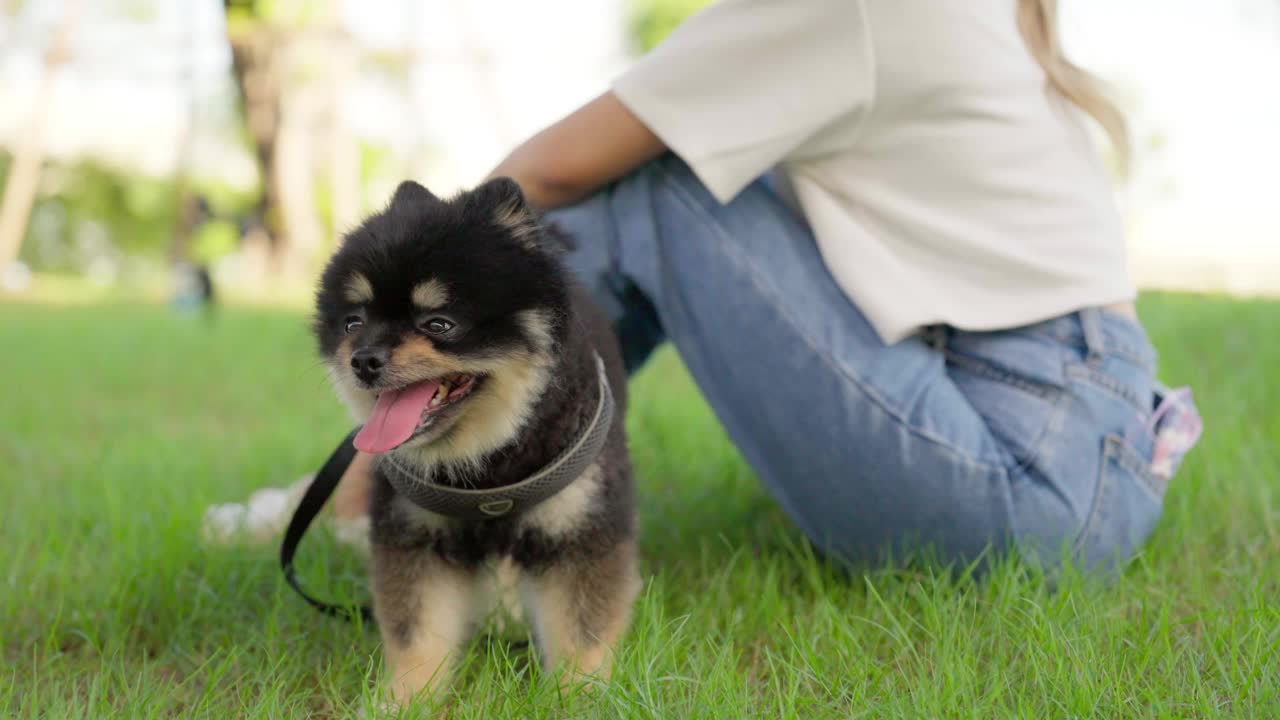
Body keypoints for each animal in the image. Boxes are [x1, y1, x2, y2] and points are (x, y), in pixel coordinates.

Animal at [314, 176, 645, 702]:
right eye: (354, 322)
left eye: (439, 323)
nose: (362, 360)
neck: (487, 463)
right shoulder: (417, 534)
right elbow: (417, 632)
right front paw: (405, 700)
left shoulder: (578, 528)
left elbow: (581, 631)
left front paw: (578, 695)